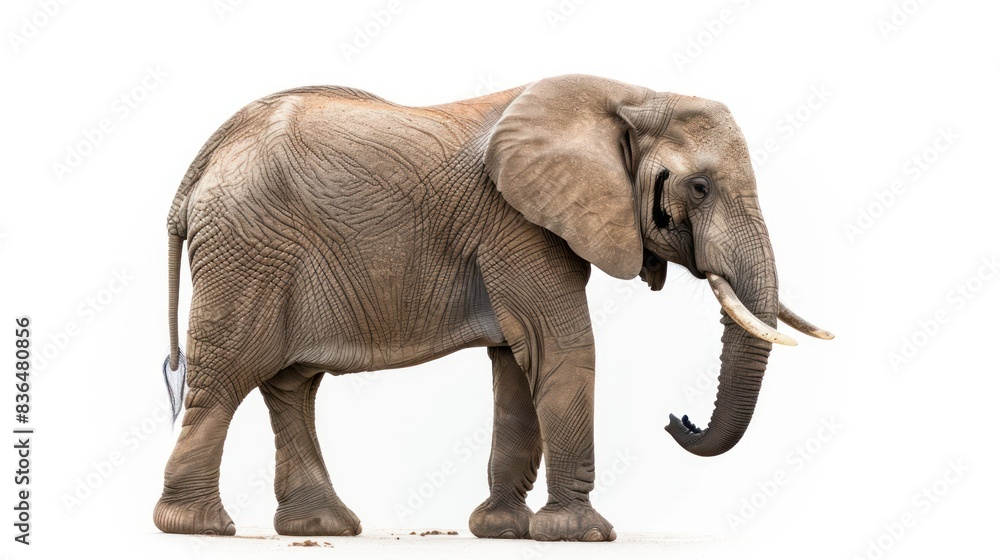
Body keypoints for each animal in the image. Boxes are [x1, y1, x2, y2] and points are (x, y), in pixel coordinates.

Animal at [154, 74, 832, 542]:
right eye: (699, 187)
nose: (676, 420)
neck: (632, 96)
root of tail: (204, 162)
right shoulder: (518, 222)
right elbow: (562, 348)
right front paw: (581, 535)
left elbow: (516, 362)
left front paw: (502, 530)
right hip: (245, 251)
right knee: (228, 377)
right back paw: (199, 527)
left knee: (292, 385)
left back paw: (323, 527)